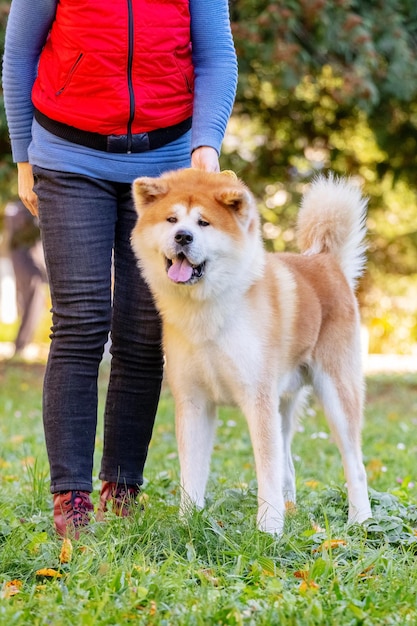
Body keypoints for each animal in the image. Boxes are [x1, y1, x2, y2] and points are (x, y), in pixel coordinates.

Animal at [131, 168, 370, 532]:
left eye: (203, 223)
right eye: (171, 219)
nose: (182, 236)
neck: (208, 310)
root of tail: (326, 261)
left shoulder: (257, 400)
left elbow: (266, 472)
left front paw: (269, 529)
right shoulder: (194, 402)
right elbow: (192, 473)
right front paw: (188, 523)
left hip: (335, 393)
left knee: (354, 465)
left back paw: (361, 520)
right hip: (283, 404)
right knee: (288, 464)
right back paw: (292, 510)